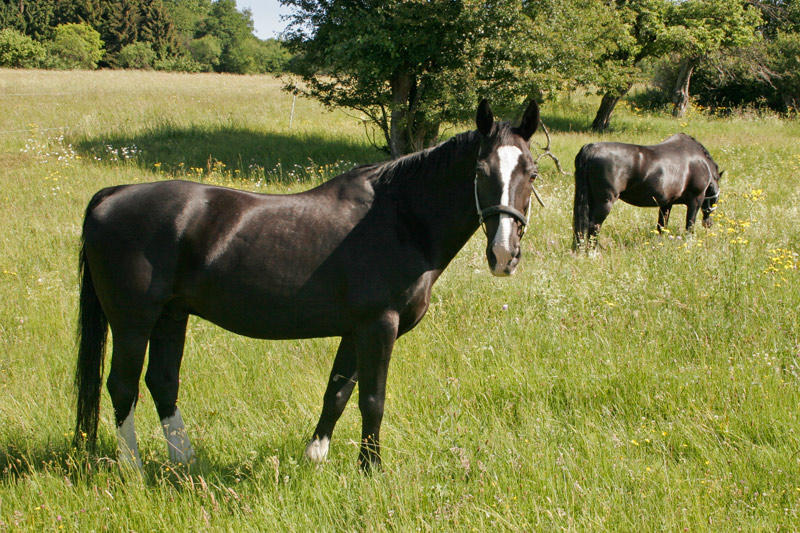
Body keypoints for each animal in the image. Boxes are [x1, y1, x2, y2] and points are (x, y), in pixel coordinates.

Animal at [75, 97, 540, 468]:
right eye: (479, 170)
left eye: (532, 173)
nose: (504, 255)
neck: (399, 220)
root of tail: (112, 195)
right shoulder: (378, 326)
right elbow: (372, 401)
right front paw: (371, 470)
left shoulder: (356, 330)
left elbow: (337, 393)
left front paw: (315, 458)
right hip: (133, 321)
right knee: (122, 386)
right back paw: (132, 468)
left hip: (171, 316)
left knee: (162, 382)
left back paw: (184, 461)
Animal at [572, 134, 720, 248]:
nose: (709, 224)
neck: (701, 162)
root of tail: (590, 149)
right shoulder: (696, 200)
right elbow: (690, 225)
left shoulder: (666, 203)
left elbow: (661, 225)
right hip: (605, 202)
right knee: (594, 226)